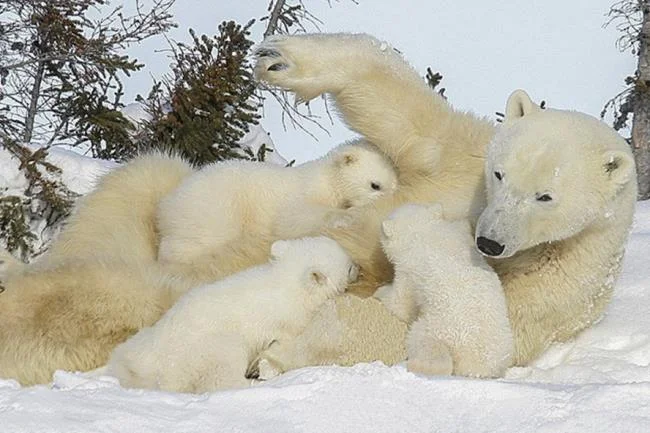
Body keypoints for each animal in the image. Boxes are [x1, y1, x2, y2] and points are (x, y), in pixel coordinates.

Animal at [107, 236, 358, 393]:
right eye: (348, 266)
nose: (358, 267)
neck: (285, 282)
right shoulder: (285, 318)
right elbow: (286, 339)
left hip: (141, 343)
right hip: (206, 349)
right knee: (223, 369)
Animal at [156, 139, 397, 274]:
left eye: (395, 183)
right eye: (375, 185)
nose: (394, 198)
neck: (327, 179)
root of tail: (166, 205)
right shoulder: (303, 192)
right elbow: (293, 218)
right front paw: (345, 216)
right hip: (213, 209)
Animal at [375, 203, 513, 378]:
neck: (425, 234)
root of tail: (475, 366)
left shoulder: (408, 271)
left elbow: (401, 303)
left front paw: (380, 291)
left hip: (439, 328)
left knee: (424, 341)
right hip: (504, 343)